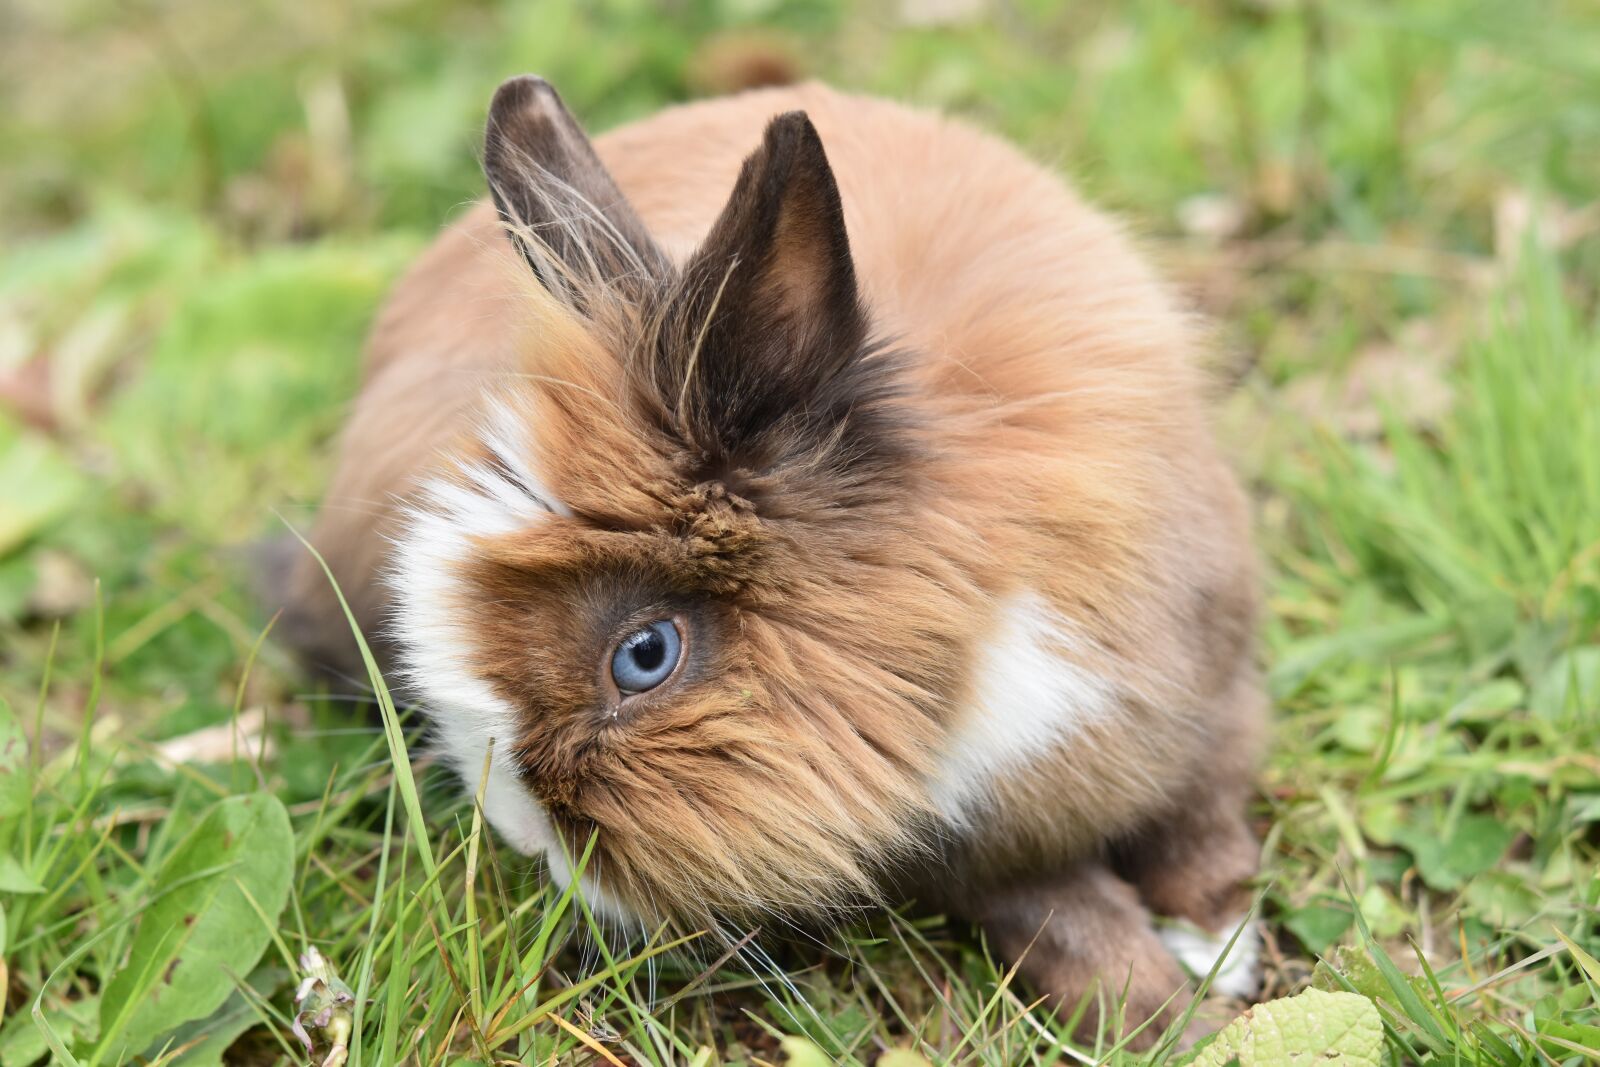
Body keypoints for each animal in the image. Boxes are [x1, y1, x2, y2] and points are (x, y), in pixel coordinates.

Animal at [277, 75, 1267, 1044]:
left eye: (646, 656)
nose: (527, 837)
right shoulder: (977, 857)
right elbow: (1070, 925)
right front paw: (1177, 1019)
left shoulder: (1209, 699)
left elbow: (1207, 831)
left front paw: (1223, 954)